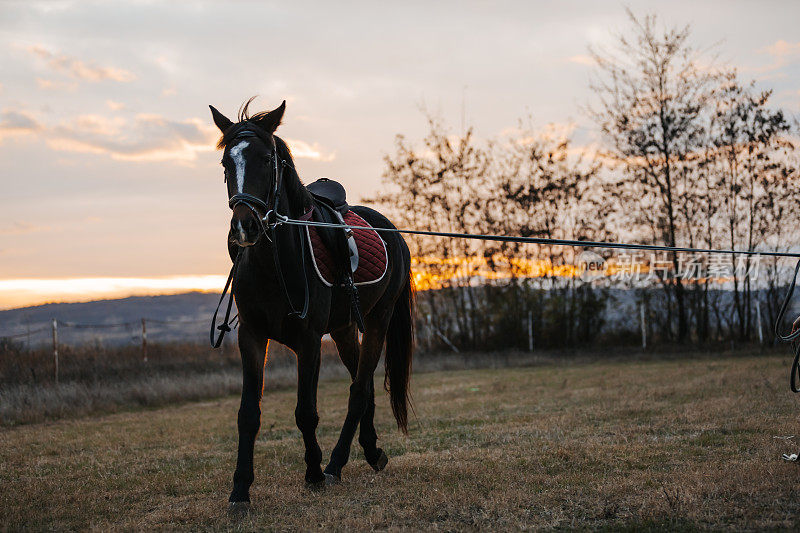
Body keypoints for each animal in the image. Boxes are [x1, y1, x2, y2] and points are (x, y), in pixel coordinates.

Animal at [209, 98, 416, 512]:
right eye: (226, 164)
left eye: (266, 160)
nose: (244, 228)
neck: (274, 264)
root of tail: (392, 230)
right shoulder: (252, 337)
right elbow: (248, 414)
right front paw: (240, 491)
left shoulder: (308, 341)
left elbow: (306, 412)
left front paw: (314, 474)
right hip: (344, 329)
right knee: (364, 387)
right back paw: (370, 452)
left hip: (378, 320)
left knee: (358, 390)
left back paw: (335, 464)